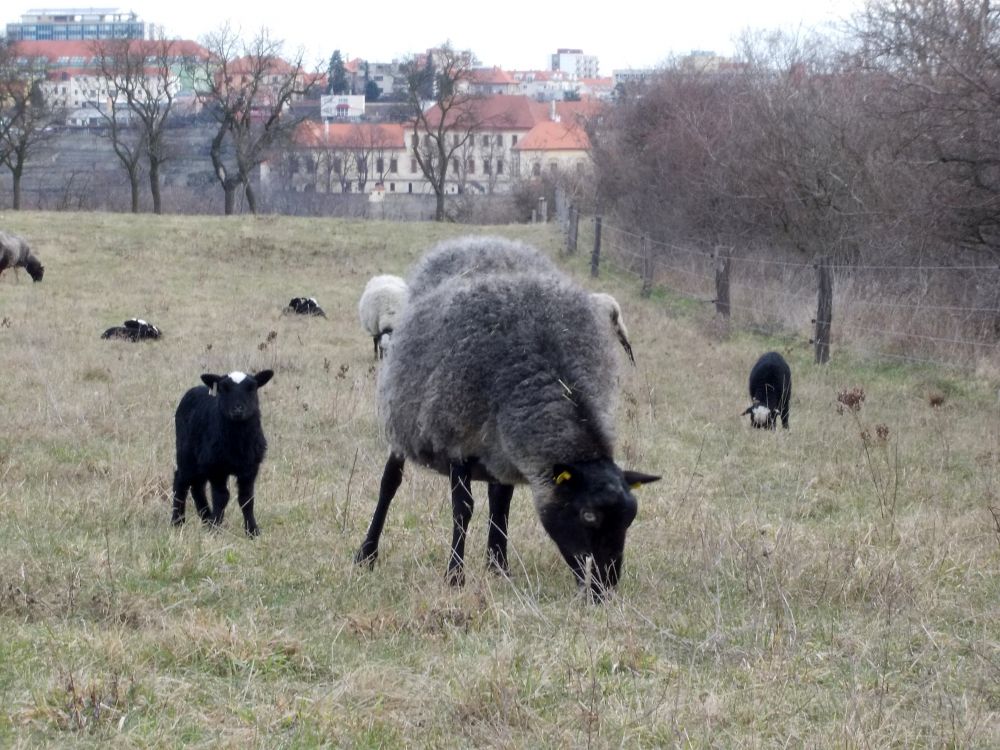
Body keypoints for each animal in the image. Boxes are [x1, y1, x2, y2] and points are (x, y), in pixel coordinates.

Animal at [172, 368, 274, 536]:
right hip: (186, 454)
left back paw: (206, 518)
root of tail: (196, 389)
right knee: (180, 481)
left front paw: (252, 531)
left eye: (252, 388)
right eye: (223, 388)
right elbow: (222, 497)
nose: (238, 409)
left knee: (197, 486)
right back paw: (177, 521)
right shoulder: (216, 468)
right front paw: (215, 528)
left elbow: (246, 498)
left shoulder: (250, 467)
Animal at [356, 256, 660, 604]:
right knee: (389, 484)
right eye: (588, 516)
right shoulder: (458, 443)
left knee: (498, 498)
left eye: (630, 519)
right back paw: (366, 554)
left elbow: (502, 509)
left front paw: (500, 569)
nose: (604, 591)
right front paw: (455, 577)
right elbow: (463, 510)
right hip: (405, 425)